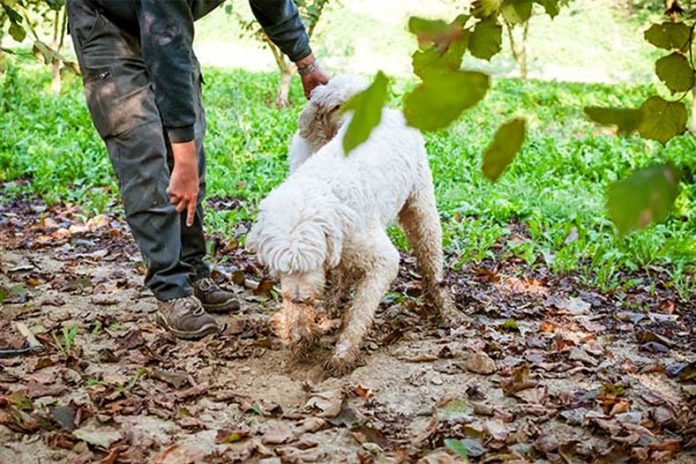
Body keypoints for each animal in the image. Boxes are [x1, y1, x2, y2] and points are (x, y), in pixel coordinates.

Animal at [247, 75, 448, 374]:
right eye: (282, 267)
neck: (321, 189)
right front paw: (301, 334)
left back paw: (442, 304)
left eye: (309, 262)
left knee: (429, 252)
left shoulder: (381, 260)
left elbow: (361, 310)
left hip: (421, 207)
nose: (298, 298)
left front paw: (344, 353)